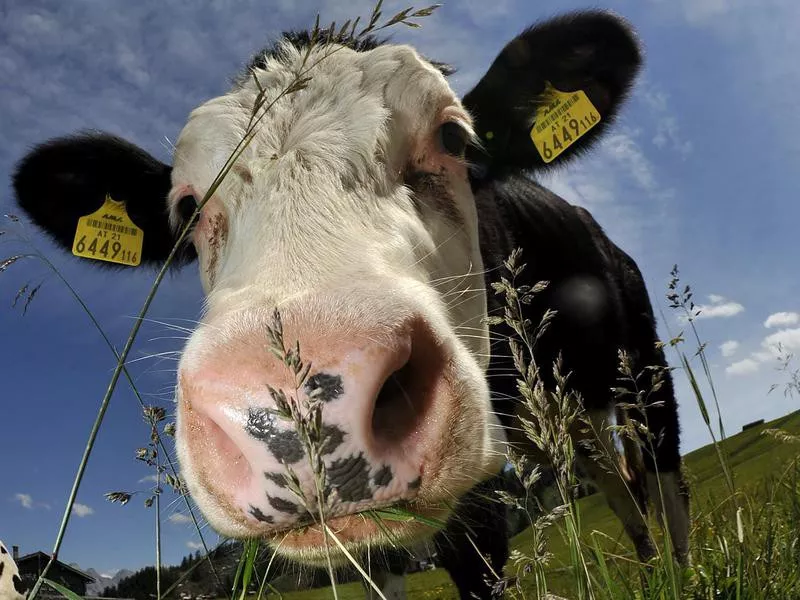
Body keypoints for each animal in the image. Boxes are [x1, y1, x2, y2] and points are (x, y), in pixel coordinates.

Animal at [11, 10, 689, 599]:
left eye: (454, 136)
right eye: (187, 208)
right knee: (618, 485)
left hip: (641, 365)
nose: (290, 412)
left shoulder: (476, 496)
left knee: (663, 481)